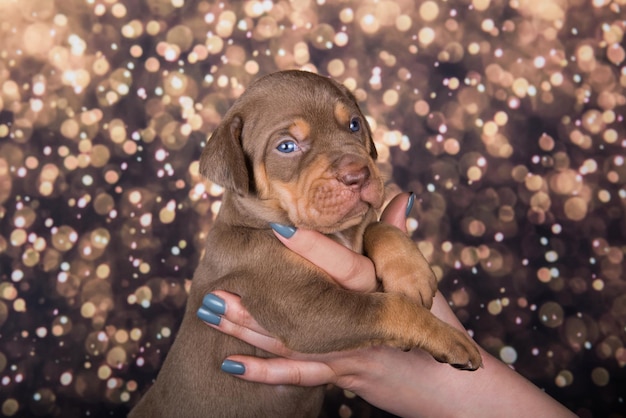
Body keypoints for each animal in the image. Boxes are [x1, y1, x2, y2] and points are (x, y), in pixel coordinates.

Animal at [129, 70, 480, 416]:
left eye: (354, 124)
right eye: (286, 146)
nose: (358, 175)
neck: (334, 236)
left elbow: (379, 226)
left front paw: (411, 275)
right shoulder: (300, 306)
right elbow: (390, 307)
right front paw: (449, 338)